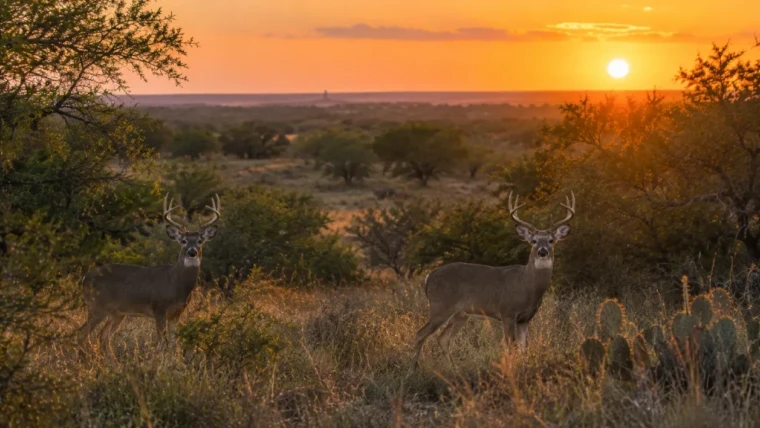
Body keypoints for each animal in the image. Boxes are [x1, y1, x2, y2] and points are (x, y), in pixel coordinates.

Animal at [78, 193, 221, 355]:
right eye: (183, 241)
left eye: (200, 241)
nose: (192, 252)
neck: (176, 284)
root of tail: (85, 277)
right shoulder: (158, 308)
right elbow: (162, 343)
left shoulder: (177, 312)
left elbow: (173, 344)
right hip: (96, 306)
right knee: (82, 333)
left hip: (117, 312)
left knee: (103, 336)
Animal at [410, 191, 575, 370]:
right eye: (534, 241)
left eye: (551, 240)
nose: (542, 251)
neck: (527, 285)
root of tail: (428, 277)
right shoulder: (507, 312)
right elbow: (511, 346)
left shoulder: (526, 318)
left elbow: (523, 348)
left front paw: (523, 367)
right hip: (440, 306)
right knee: (420, 334)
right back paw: (412, 370)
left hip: (460, 314)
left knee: (443, 338)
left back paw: (454, 370)